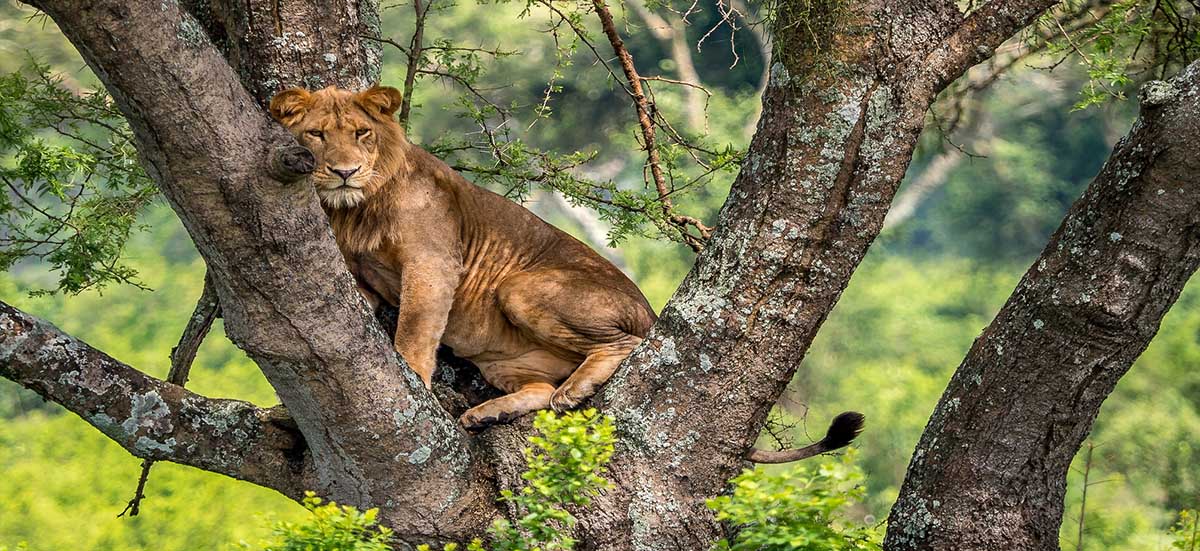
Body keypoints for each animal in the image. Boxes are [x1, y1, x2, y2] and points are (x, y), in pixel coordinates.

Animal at [269, 85, 657, 429]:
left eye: (362, 133)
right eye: (316, 134)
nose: (345, 173)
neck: (356, 209)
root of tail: (650, 311)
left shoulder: (432, 263)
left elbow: (414, 333)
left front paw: (417, 384)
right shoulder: (359, 276)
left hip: (519, 289)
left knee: (626, 344)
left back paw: (575, 389)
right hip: (506, 362)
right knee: (542, 388)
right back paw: (491, 413)